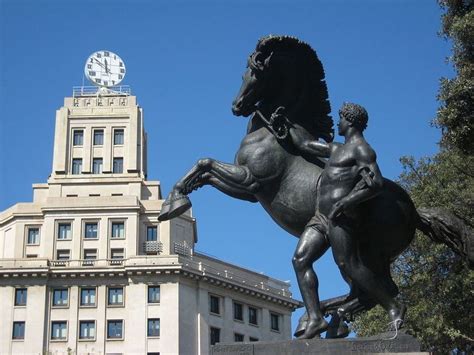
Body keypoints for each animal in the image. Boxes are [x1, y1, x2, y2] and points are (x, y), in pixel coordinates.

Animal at [159, 35, 470, 340]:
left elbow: (205, 163)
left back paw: (348, 321)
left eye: (254, 73)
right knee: (365, 291)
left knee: (372, 288)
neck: (271, 135)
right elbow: (205, 169)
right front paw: (175, 200)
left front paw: (173, 203)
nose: (236, 106)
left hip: (366, 252)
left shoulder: (250, 181)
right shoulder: (248, 191)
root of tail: (414, 212)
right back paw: (326, 321)